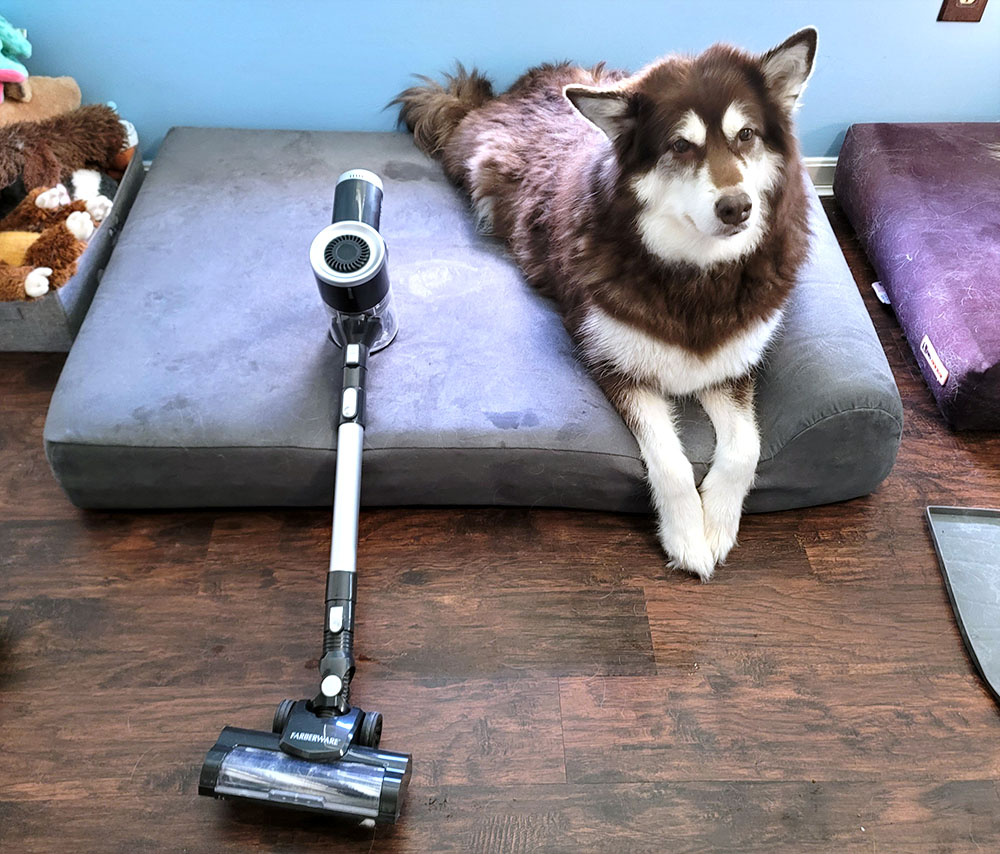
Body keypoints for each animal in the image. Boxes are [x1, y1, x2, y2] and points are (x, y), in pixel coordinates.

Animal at [394, 30, 816, 584]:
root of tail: (521, 84)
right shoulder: (614, 364)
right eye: (680, 145)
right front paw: (686, 535)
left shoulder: (733, 366)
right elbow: (672, 461)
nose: (737, 208)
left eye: (745, 134)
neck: (696, 275)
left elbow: (747, 448)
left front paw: (720, 524)